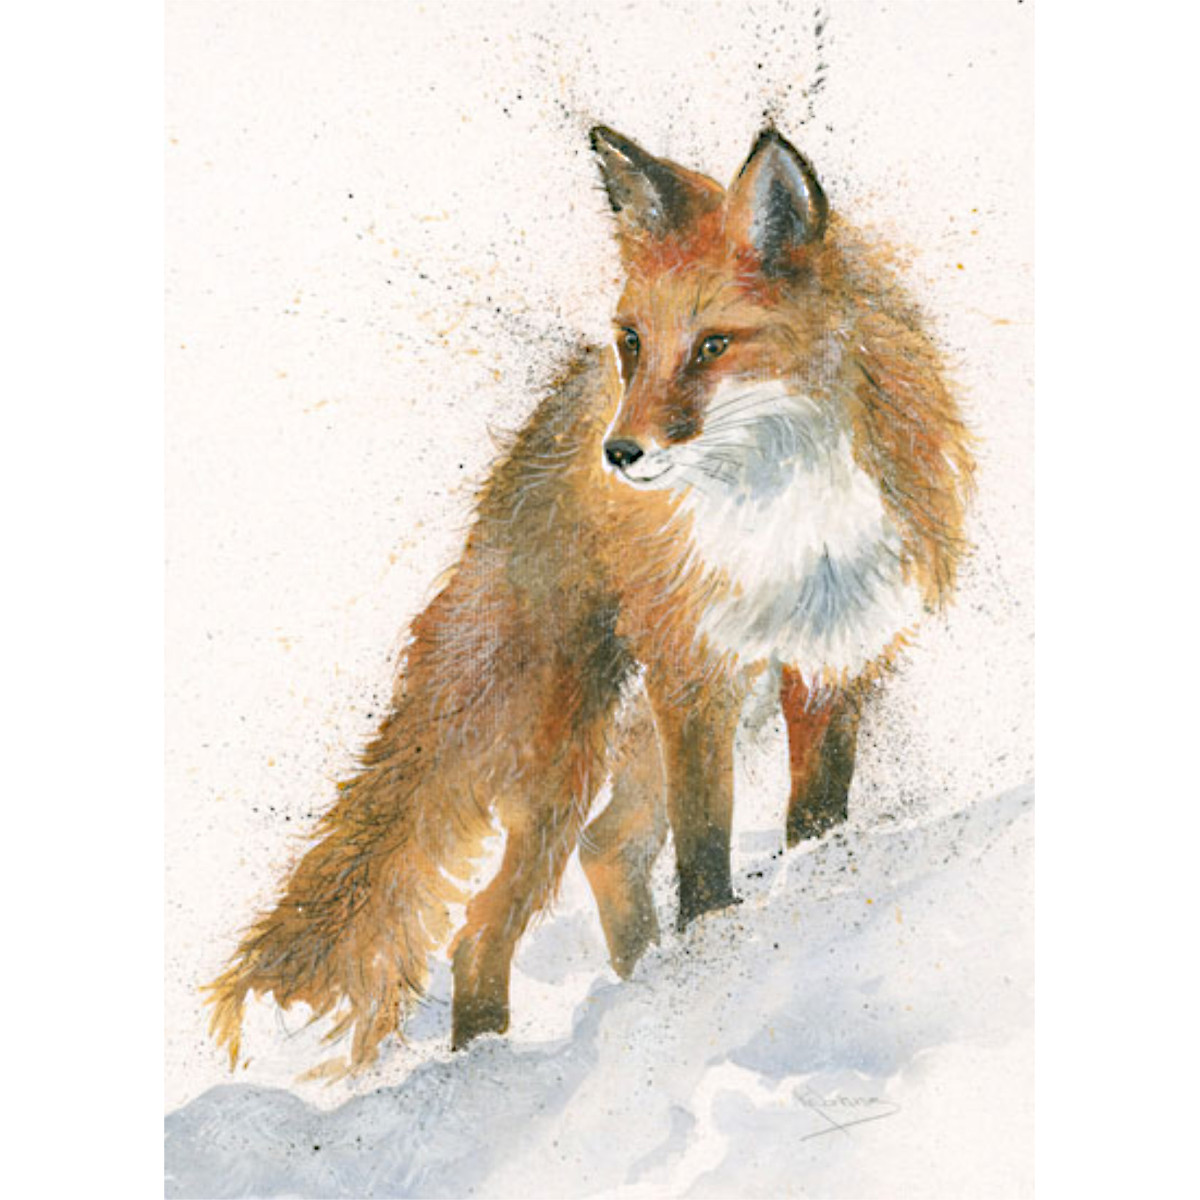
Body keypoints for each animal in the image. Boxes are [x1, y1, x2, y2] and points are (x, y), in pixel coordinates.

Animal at [206, 125, 974, 1073]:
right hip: (560, 750)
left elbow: (817, 818)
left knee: (607, 852)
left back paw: (635, 993)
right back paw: (490, 1066)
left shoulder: (833, 656)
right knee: (482, 926)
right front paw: (715, 961)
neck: (789, 515)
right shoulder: (698, 674)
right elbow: (705, 854)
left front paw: (800, 908)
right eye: (633, 340)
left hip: (652, 725)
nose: (622, 453)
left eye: (714, 345)